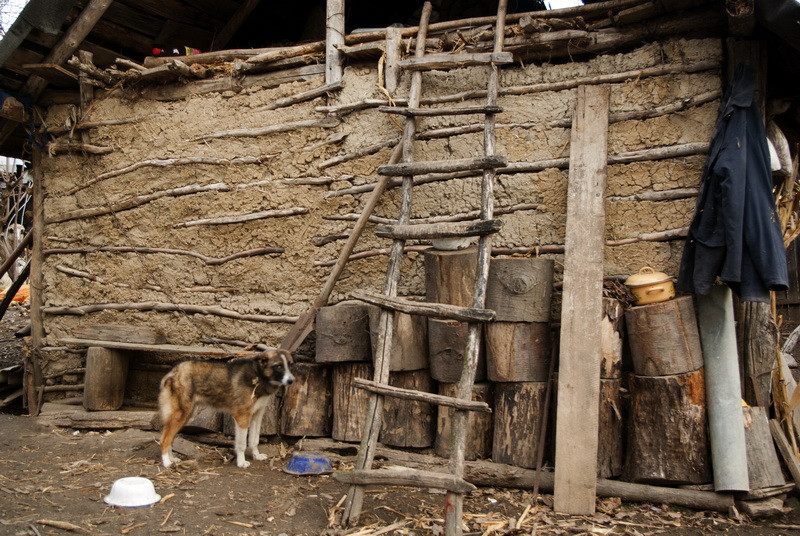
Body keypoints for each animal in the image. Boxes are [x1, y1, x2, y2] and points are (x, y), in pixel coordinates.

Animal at [157, 348, 294, 468]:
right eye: (278, 366)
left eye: (290, 364)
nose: (291, 381)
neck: (259, 376)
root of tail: (172, 372)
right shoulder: (242, 417)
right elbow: (241, 444)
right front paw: (241, 462)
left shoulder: (257, 416)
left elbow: (254, 440)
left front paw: (256, 455)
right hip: (180, 415)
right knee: (164, 440)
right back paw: (166, 462)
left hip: (184, 416)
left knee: (170, 439)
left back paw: (172, 459)